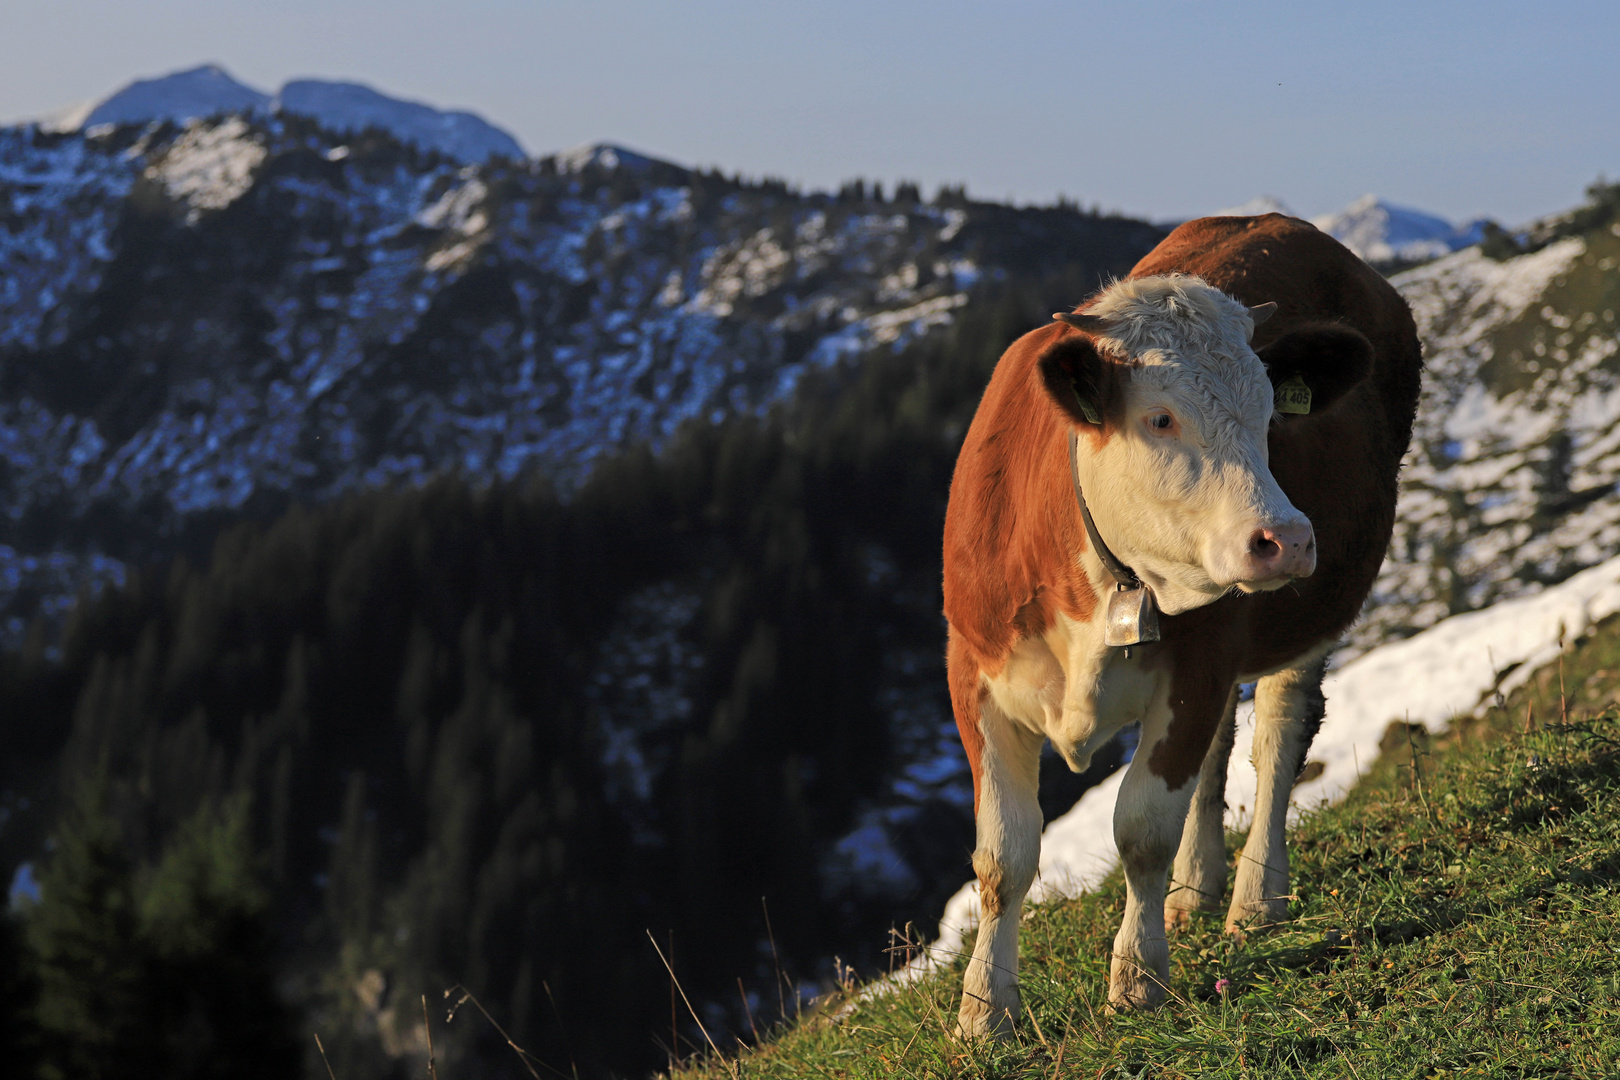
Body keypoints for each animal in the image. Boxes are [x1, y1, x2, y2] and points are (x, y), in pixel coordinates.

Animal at [946, 213, 1412, 1036]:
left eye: (1270, 416)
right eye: (1159, 417)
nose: (1287, 538)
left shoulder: (1200, 663)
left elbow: (1141, 830)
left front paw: (1137, 978)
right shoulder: (972, 669)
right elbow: (1004, 855)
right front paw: (983, 1012)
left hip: (1309, 620)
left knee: (1279, 734)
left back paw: (1255, 899)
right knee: (1222, 748)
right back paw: (1196, 890)